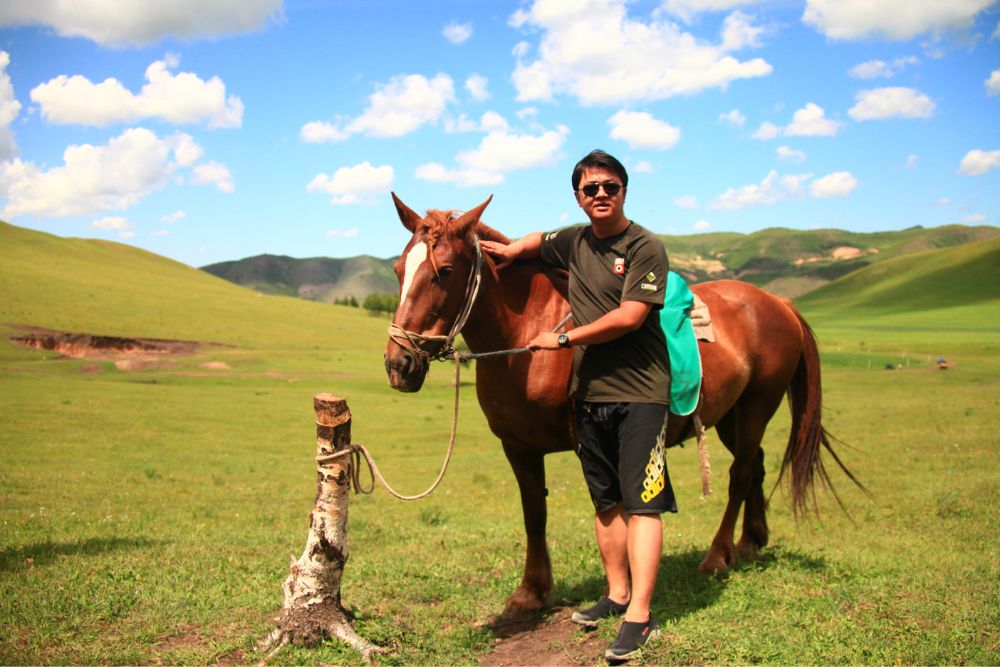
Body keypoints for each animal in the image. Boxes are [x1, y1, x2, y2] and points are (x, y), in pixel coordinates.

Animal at [382, 193, 860, 620]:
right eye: (398, 270)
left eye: (444, 271)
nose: (398, 364)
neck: (527, 338)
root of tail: (778, 303)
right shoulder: (518, 447)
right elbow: (534, 512)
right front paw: (532, 593)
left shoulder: (588, 440)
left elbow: (616, 507)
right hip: (732, 415)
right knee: (756, 464)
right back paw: (750, 543)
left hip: (759, 405)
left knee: (740, 474)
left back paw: (719, 555)